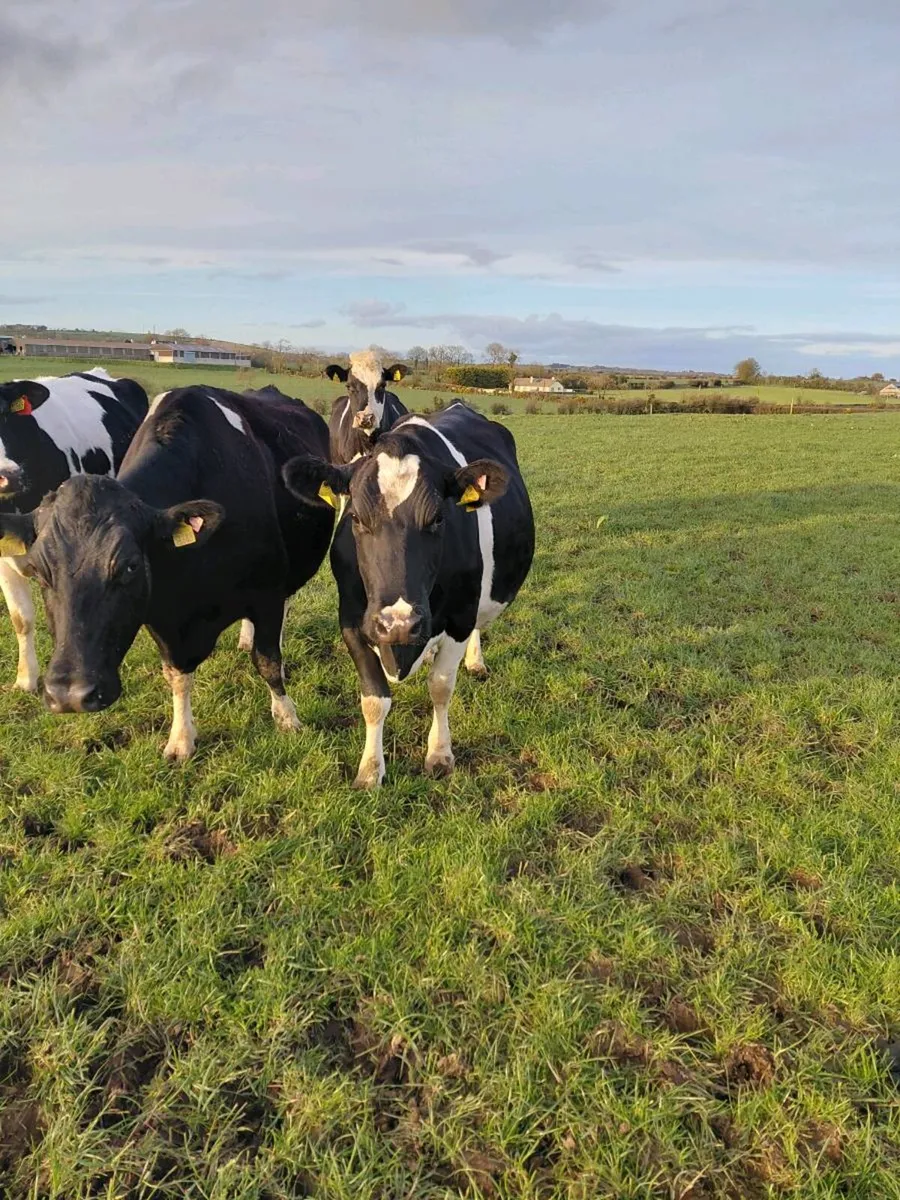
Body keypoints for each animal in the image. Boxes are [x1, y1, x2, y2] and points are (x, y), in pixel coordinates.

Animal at [283, 401, 534, 788]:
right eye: (356, 518)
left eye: (438, 518)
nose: (399, 623)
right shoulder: (352, 620)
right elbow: (374, 700)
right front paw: (370, 769)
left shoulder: (460, 616)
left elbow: (441, 687)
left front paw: (440, 753)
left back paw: (474, 661)